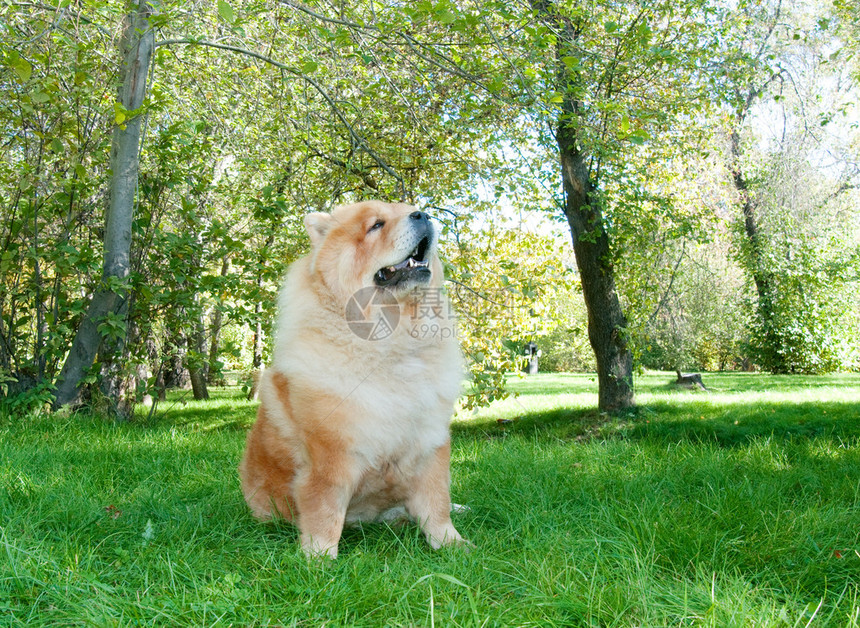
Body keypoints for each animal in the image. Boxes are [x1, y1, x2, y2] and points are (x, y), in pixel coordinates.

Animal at [239, 201, 470, 560]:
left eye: (411, 210)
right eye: (376, 225)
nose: (423, 215)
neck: (392, 342)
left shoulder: (429, 443)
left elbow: (437, 503)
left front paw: (452, 545)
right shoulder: (330, 454)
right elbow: (325, 509)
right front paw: (318, 559)